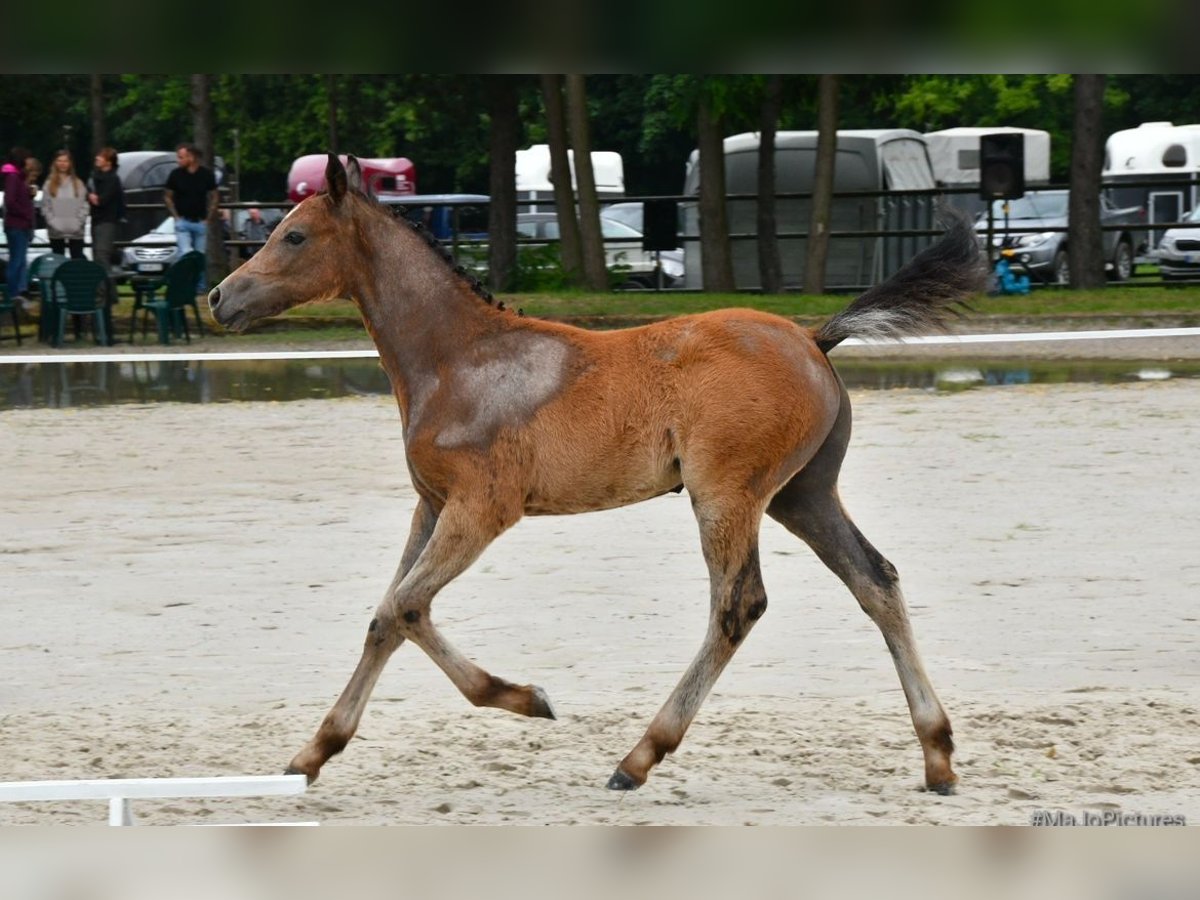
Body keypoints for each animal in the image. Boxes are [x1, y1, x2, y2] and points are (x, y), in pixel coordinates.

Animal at [208, 154, 984, 796]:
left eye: (295, 237)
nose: (219, 298)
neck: (456, 359)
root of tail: (813, 337)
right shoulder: (430, 505)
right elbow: (386, 616)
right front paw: (311, 754)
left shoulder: (482, 508)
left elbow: (406, 606)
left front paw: (527, 699)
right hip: (802, 494)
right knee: (875, 581)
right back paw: (938, 755)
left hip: (727, 495)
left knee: (739, 606)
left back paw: (638, 757)